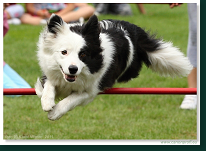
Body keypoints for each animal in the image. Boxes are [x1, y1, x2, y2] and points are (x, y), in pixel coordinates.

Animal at [35, 13, 192, 120]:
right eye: (64, 52)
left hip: (130, 69)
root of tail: (133, 29)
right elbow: (48, 85)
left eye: (83, 54)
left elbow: (71, 99)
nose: (73, 69)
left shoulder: (92, 90)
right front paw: (47, 101)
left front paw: (55, 112)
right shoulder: (51, 72)